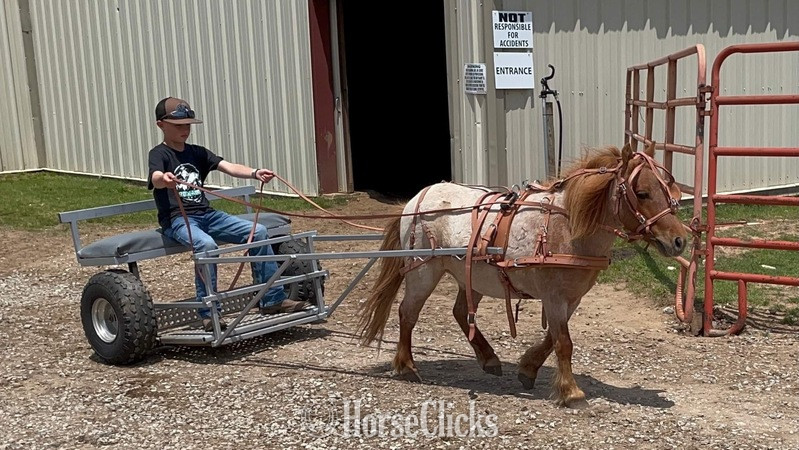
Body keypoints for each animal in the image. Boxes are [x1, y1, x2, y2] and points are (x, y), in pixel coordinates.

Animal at [356, 142, 687, 408]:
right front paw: (571, 393)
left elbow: (552, 337)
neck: (567, 227)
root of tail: (416, 200)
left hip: (471, 277)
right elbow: (563, 342)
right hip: (423, 271)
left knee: (460, 312)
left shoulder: (572, 298)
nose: (680, 241)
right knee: (407, 313)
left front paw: (528, 369)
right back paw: (407, 366)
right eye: (642, 193)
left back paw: (488, 359)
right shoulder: (553, 297)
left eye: (670, 191)